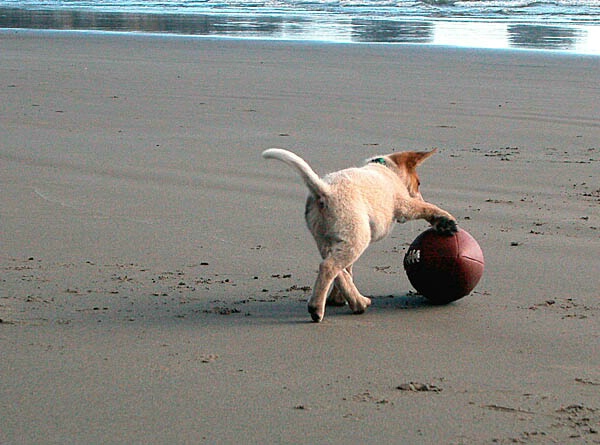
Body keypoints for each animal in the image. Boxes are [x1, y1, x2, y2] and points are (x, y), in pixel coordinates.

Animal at [262, 147, 454, 320]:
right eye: (418, 183)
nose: (420, 195)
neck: (387, 168)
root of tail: (326, 190)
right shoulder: (404, 204)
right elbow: (426, 207)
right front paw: (445, 220)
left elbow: (348, 270)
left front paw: (338, 298)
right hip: (358, 236)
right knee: (328, 266)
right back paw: (318, 309)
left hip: (329, 238)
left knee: (337, 268)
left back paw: (356, 301)